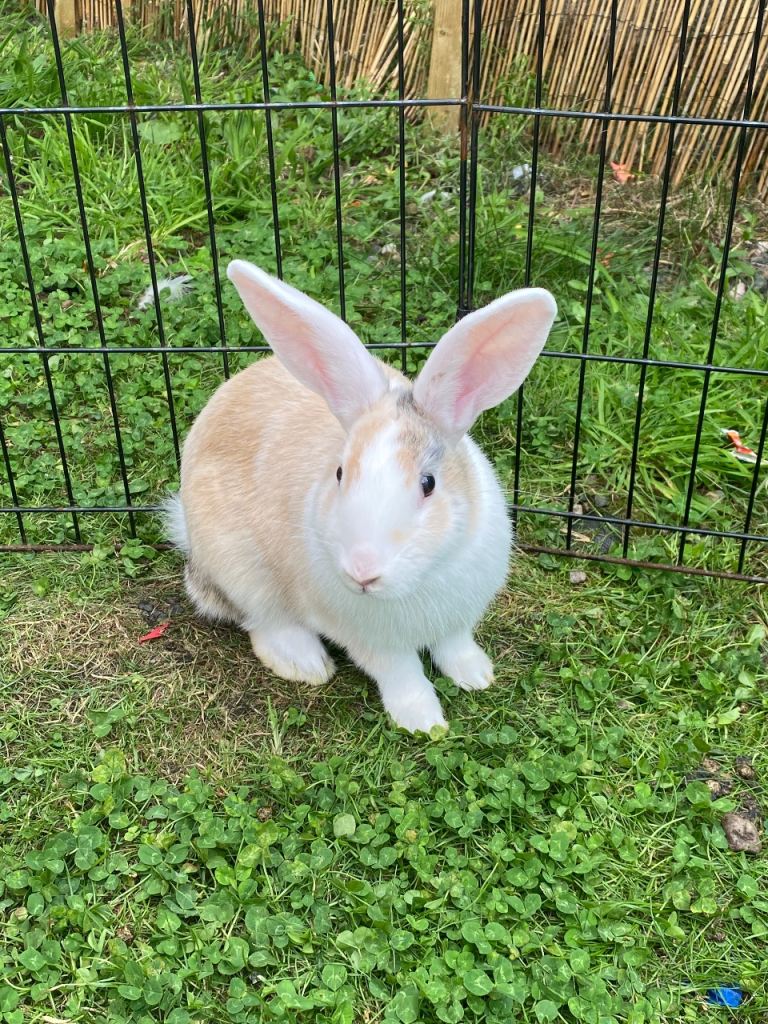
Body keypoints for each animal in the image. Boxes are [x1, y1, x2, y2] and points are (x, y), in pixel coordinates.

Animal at [166, 260, 556, 733]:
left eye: (428, 483)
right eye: (339, 473)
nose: (362, 572)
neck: (421, 580)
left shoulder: (458, 619)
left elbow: (455, 646)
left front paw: (476, 675)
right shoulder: (374, 643)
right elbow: (402, 675)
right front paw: (423, 721)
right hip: (242, 569)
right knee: (263, 622)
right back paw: (306, 664)